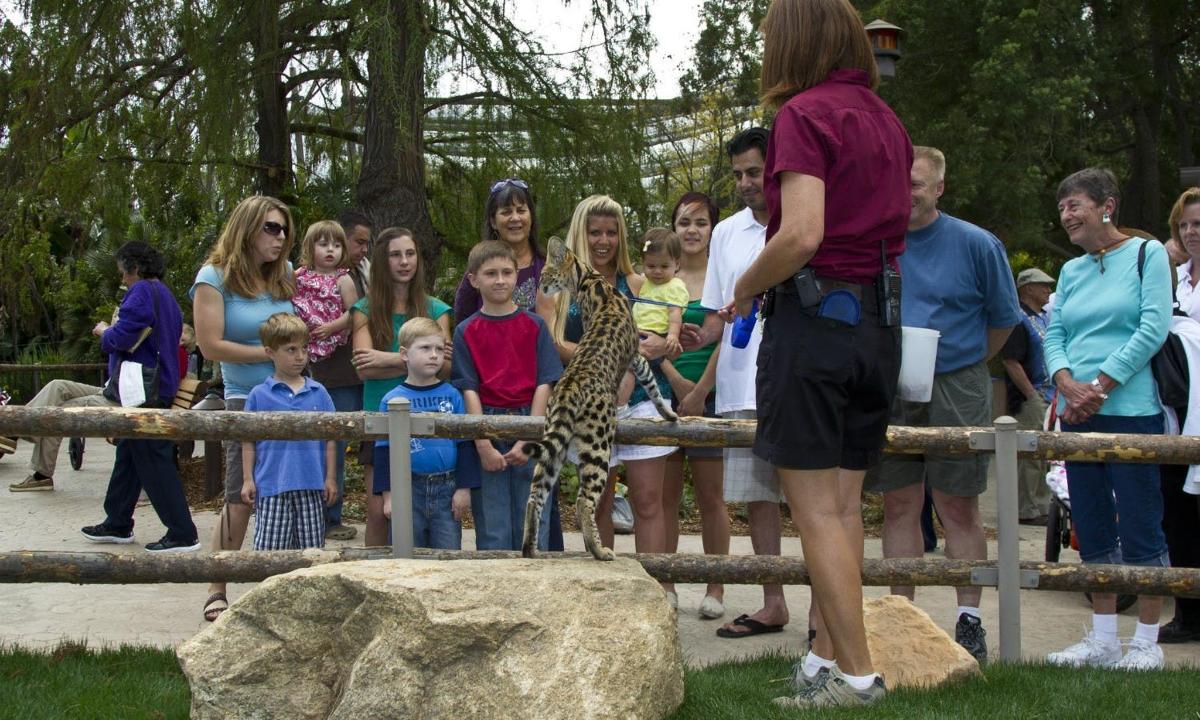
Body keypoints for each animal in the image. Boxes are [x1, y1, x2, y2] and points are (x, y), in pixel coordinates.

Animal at [523, 237, 681, 561]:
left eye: (546, 273)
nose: (541, 287)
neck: (590, 279)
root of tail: (569, 386)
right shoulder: (636, 356)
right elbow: (652, 383)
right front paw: (669, 414)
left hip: (555, 447)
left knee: (535, 495)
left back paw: (530, 548)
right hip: (598, 447)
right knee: (584, 500)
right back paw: (599, 550)